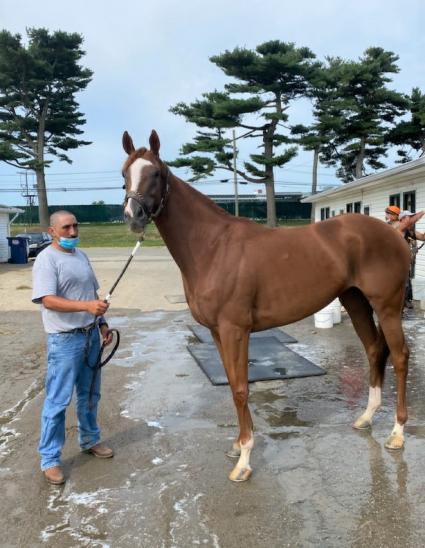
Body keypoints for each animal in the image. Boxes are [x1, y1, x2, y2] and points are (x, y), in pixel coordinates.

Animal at [121, 131, 410, 482]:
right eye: (124, 174)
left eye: (156, 174)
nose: (133, 216)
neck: (212, 247)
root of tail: (394, 233)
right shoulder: (217, 332)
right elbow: (232, 384)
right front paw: (237, 446)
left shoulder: (235, 330)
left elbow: (241, 388)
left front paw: (244, 460)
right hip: (355, 302)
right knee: (373, 350)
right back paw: (366, 417)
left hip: (388, 306)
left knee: (399, 357)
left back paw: (397, 433)